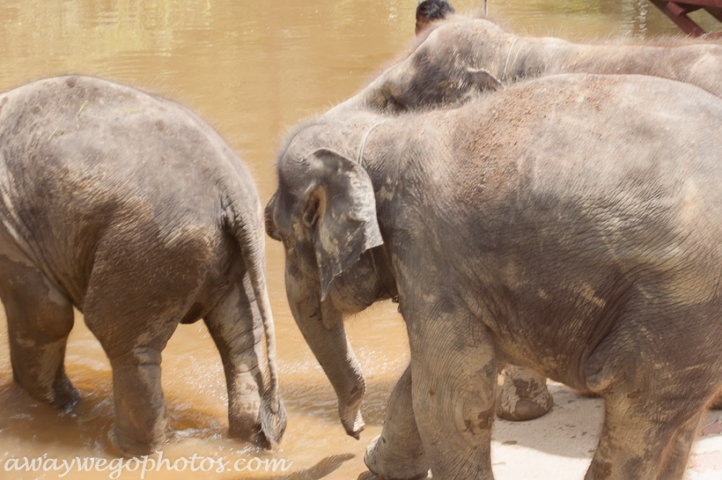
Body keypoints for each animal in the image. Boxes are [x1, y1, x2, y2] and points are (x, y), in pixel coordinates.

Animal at [0, 75, 286, 454]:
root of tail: (229, 186)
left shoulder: (10, 233)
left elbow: (45, 317)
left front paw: (62, 404)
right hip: (229, 251)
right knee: (240, 335)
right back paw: (253, 436)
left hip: (151, 245)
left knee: (126, 345)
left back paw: (128, 448)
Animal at [266, 72, 722, 480]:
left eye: (281, 237)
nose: (355, 430)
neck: (381, 136)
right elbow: (422, 381)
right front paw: (378, 468)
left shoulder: (428, 255)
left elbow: (450, 400)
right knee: (680, 420)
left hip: (677, 307)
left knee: (636, 416)